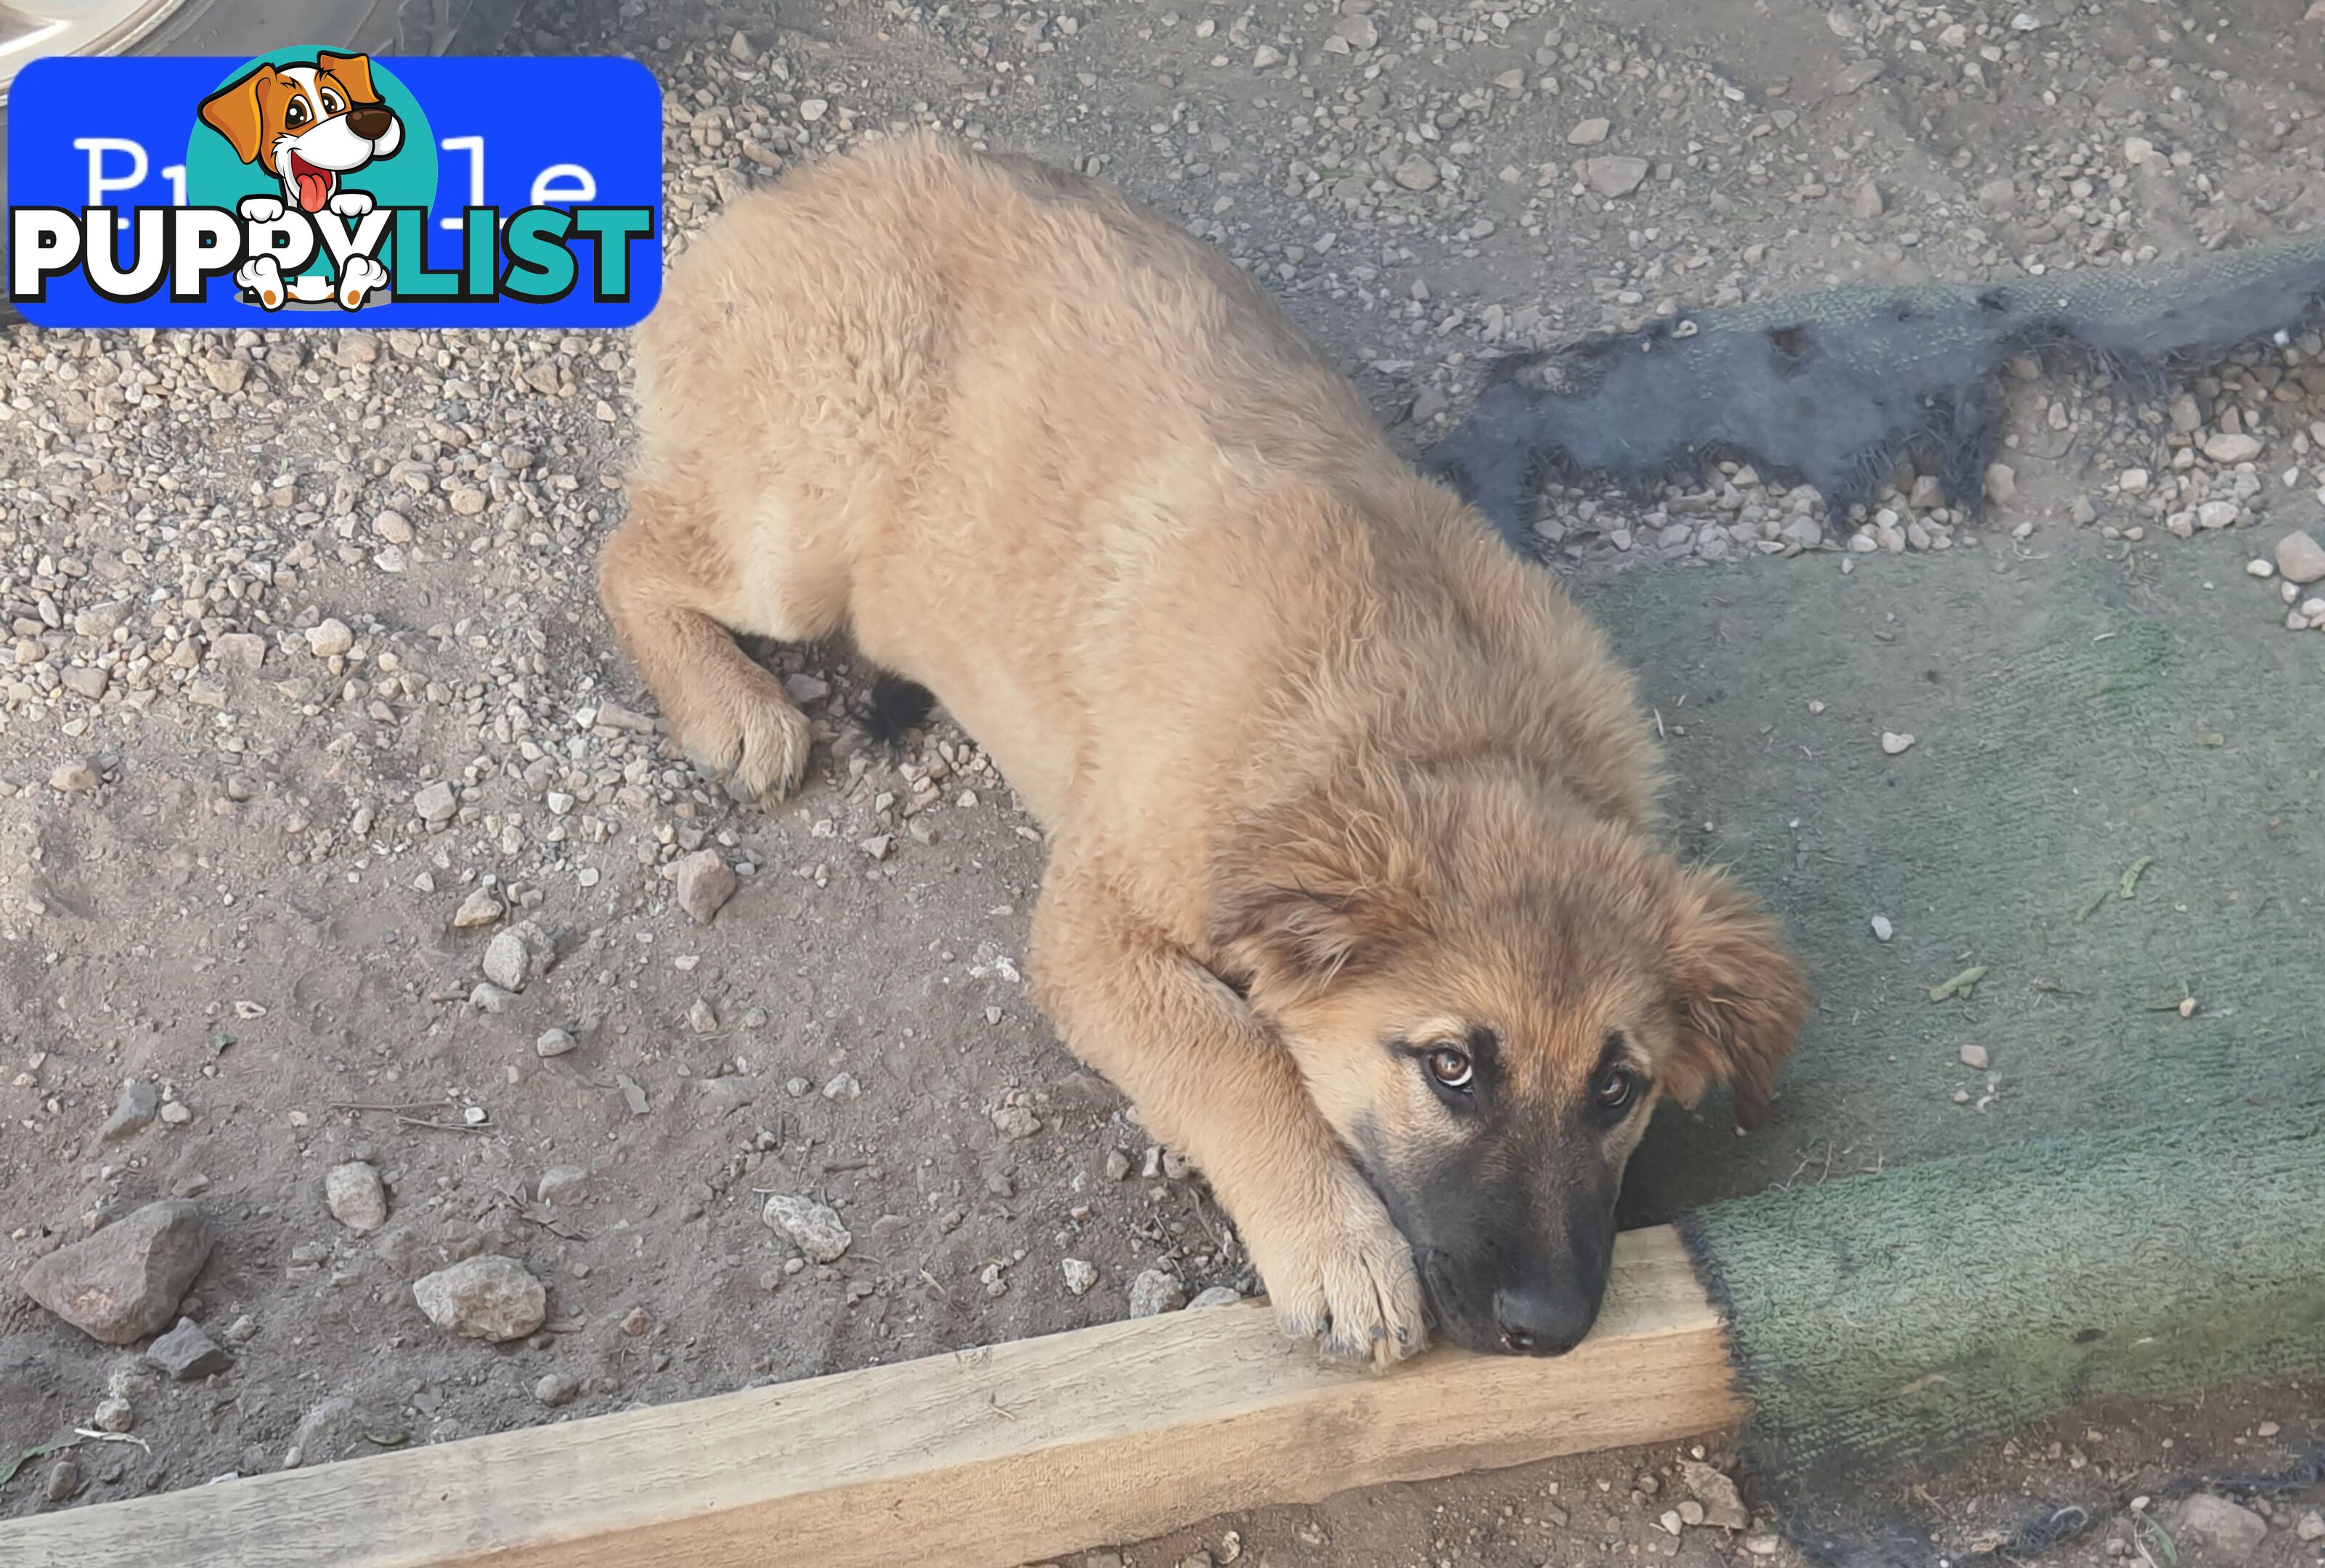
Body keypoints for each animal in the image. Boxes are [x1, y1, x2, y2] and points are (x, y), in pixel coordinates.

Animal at [604, 141, 1813, 1365]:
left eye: (1617, 1090)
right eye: (1452, 1067)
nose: (1549, 1328)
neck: (1437, 731)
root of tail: (798, 186)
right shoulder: (1092, 931)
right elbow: (1235, 1056)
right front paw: (1338, 1247)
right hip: (803, 532)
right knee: (630, 553)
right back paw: (732, 708)